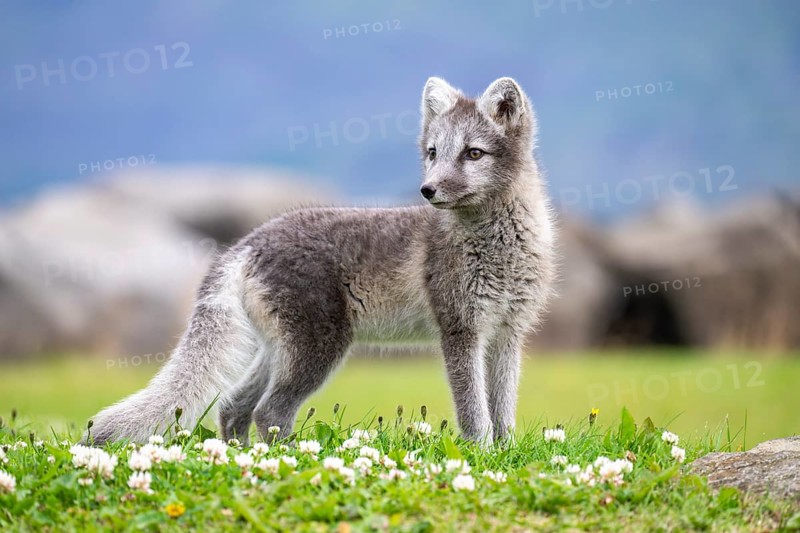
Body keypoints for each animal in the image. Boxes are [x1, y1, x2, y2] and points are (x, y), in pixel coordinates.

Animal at [87, 76, 557, 445]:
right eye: (433, 152)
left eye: (473, 153)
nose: (427, 190)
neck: (500, 247)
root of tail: (249, 241)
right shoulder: (461, 330)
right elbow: (474, 413)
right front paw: (481, 455)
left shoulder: (508, 333)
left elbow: (502, 410)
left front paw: (506, 452)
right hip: (319, 349)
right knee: (269, 411)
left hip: (278, 348)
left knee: (234, 405)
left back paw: (241, 454)